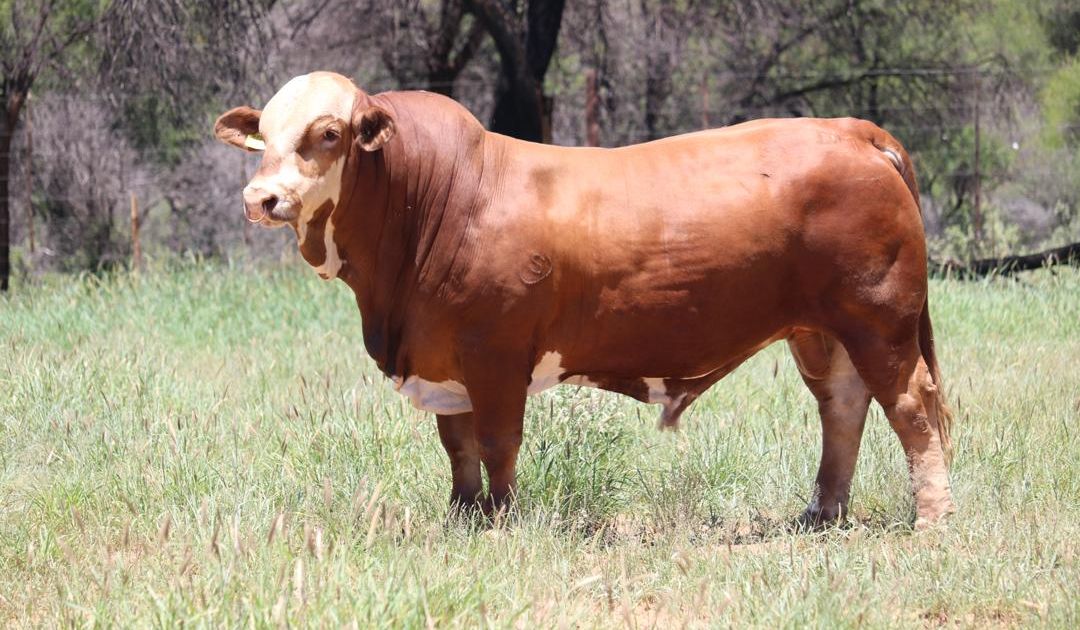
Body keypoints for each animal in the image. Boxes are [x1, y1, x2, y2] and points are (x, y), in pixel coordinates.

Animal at [214, 71, 955, 529]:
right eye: (262, 138)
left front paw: (502, 519)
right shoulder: (445, 361)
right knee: (843, 408)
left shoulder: (495, 355)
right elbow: (457, 447)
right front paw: (462, 516)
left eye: (328, 133)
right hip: (821, 331)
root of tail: (852, 129)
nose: (260, 198)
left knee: (910, 408)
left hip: (879, 320)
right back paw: (822, 513)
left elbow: (497, 443)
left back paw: (931, 516)